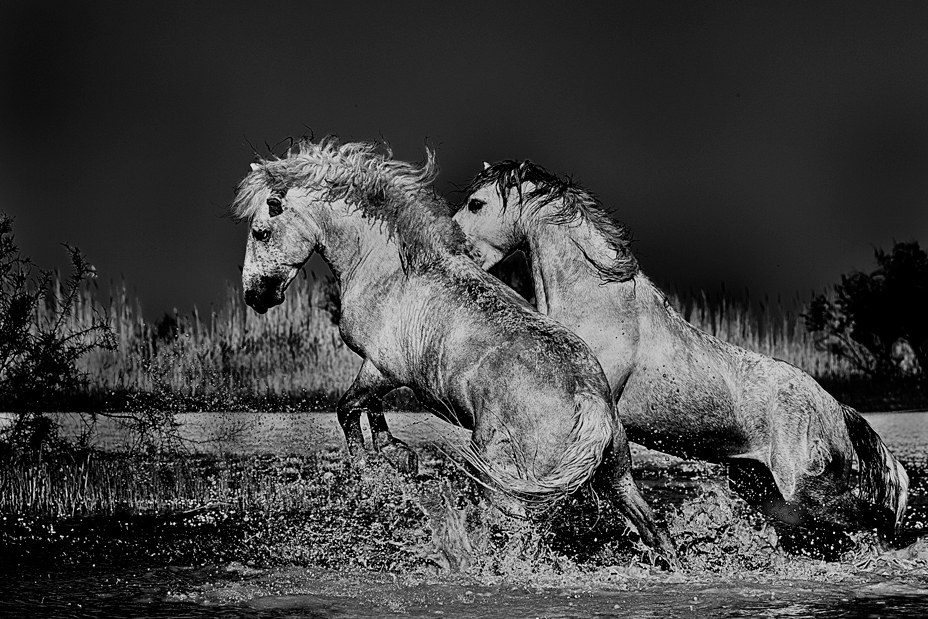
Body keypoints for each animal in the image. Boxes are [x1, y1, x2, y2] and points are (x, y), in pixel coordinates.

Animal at [231, 138, 676, 562]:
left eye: (261, 232)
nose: (255, 296)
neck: (393, 267)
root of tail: (591, 402)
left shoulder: (380, 369)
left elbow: (348, 409)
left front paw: (373, 469)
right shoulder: (387, 374)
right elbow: (371, 411)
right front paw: (398, 456)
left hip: (507, 484)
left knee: (515, 535)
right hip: (618, 478)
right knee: (655, 531)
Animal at [452, 159, 909, 539]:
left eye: (476, 203)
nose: (454, 246)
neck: (600, 301)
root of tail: (835, 407)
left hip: (803, 489)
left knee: (867, 517)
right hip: (762, 487)